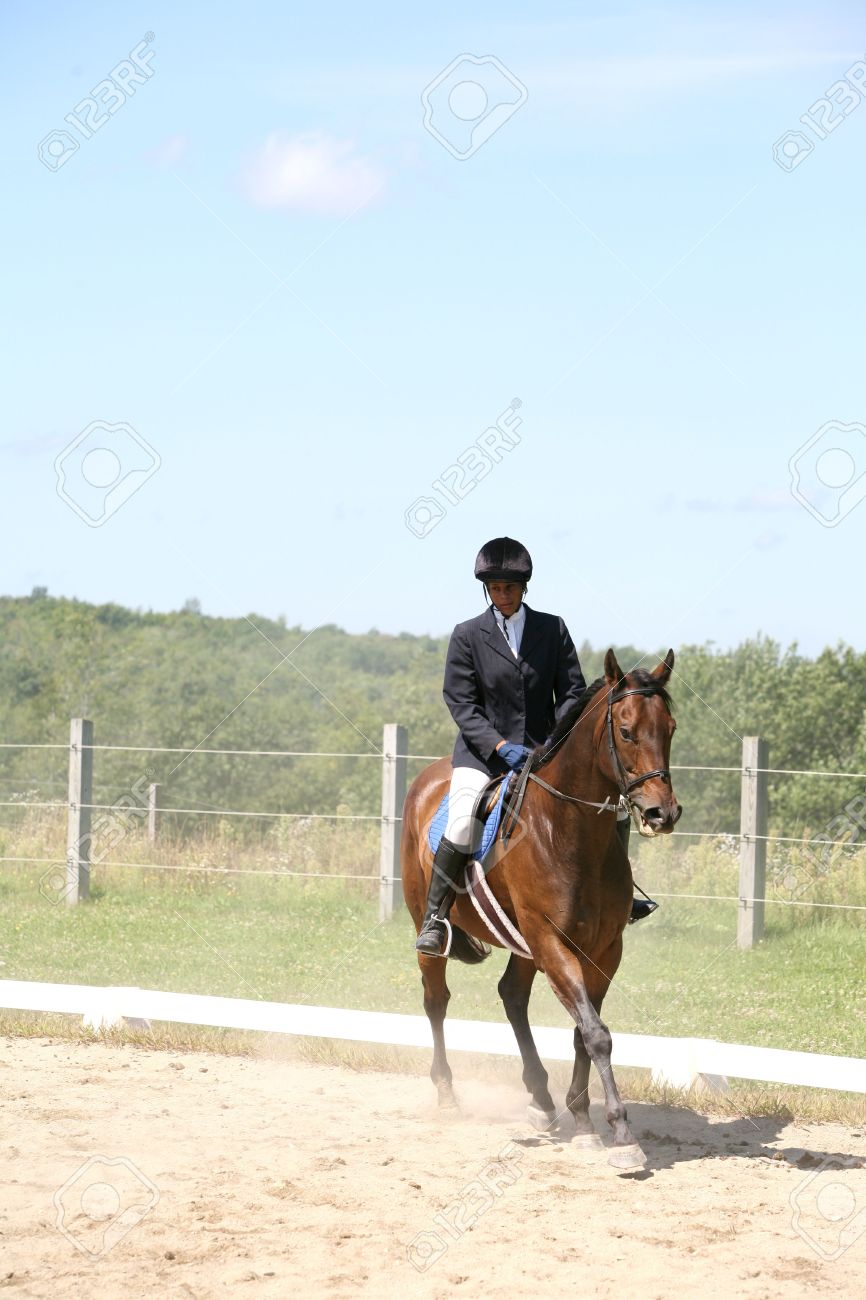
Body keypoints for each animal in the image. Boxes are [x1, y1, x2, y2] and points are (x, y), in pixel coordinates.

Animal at [401, 648, 681, 1171]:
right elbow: (596, 1034)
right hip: (438, 927)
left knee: (512, 996)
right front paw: (622, 1134)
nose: (662, 814)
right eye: (626, 730)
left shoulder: (603, 949)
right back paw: (447, 1093)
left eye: (670, 728)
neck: (569, 832)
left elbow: (583, 1031)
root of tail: (429, 777)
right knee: (436, 1000)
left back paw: (542, 1099)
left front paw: (584, 1120)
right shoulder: (551, 938)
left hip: (525, 944)